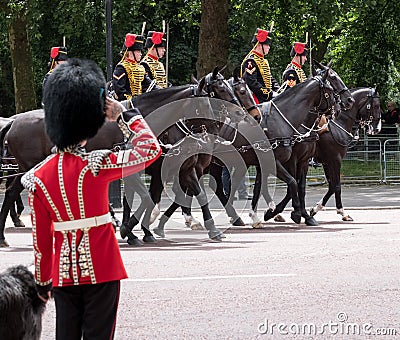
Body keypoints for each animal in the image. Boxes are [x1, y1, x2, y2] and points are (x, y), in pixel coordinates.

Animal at [310, 86, 382, 220]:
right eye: (376, 105)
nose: (377, 128)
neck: (338, 123)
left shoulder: (327, 162)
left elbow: (332, 186)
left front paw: (315, 208)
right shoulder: (335, 160)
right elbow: (337, 186)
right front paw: (342, 212)